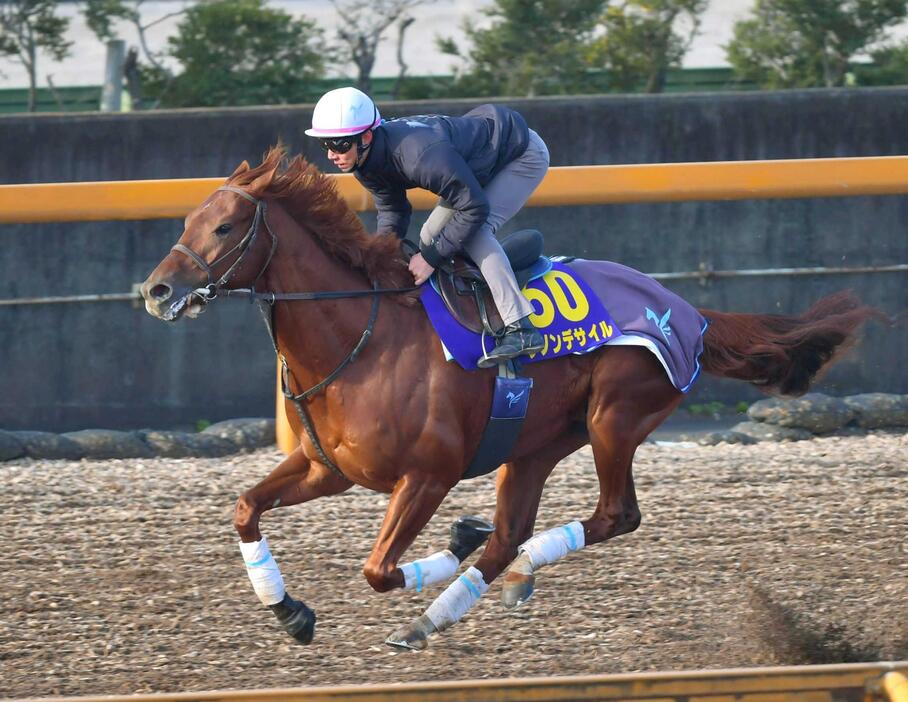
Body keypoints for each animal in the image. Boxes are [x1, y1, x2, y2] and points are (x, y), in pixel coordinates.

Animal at [142, 150, 880, 656]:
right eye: (189, 219)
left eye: (225, 227)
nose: (156, 290)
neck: (361, 337)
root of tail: (687, 312)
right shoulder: (330, 469)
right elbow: (245, 508)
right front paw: (292, 612)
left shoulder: (429, 474)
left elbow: (378, 569)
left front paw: (441, 548)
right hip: (532, 445)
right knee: (508, 535)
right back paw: (448, 605)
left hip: (614, 418)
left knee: (613, 516)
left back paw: (500, 578)